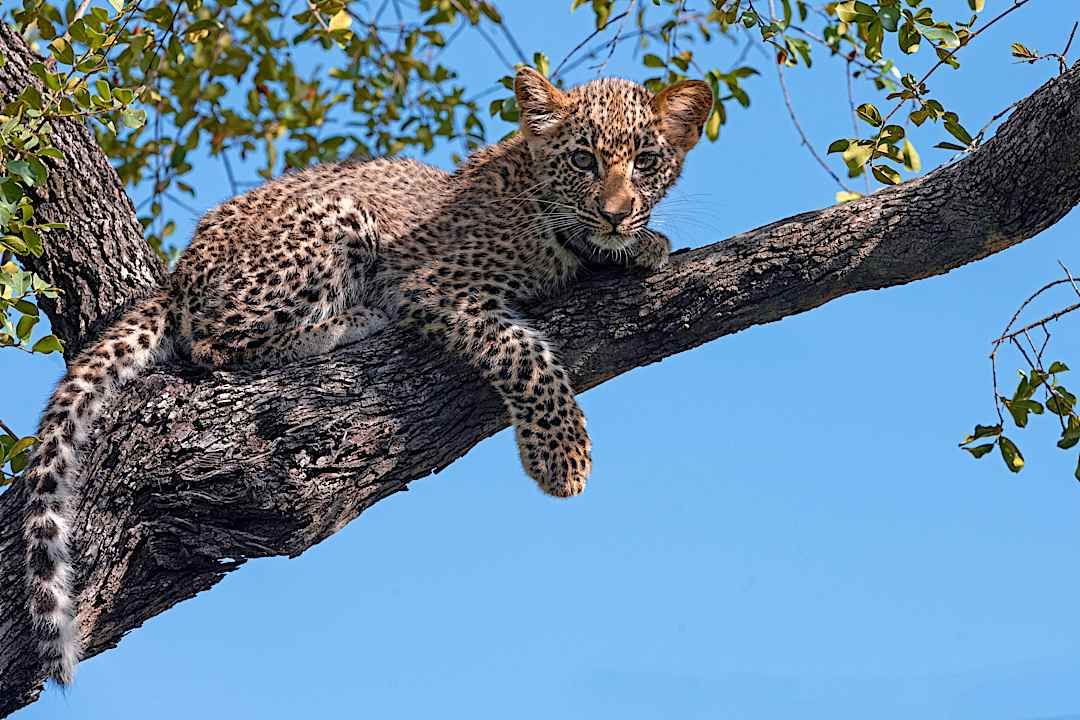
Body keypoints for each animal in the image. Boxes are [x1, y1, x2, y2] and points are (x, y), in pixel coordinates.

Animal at [21, 66, 713, 687]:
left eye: (645, 161)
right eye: (583, 161)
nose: (617, 213)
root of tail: (179, 273)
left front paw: (642, 243)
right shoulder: (437, 285)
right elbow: (524, 352)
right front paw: (562, 457)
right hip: (336, 219)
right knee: (216, 341)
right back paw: (356, 319)